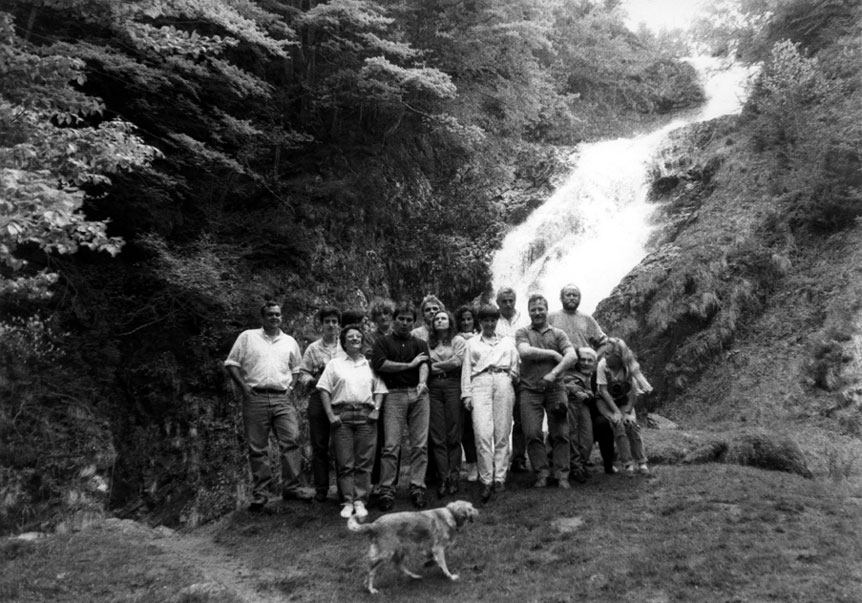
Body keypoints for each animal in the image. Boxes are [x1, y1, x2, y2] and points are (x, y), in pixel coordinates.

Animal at [348, 500, 480, 596]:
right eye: (472, 507)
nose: (478, 510)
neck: (451, 513)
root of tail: (374, 525)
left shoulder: (431, 548)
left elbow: (434, 559)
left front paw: (430, 564)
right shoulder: (438, 548)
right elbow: (443, 564)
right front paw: (450, 576)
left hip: (400, 550)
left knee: (397, 565)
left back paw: (415, 576)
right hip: (385, 553)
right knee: (371, 571)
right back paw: (371, 589)